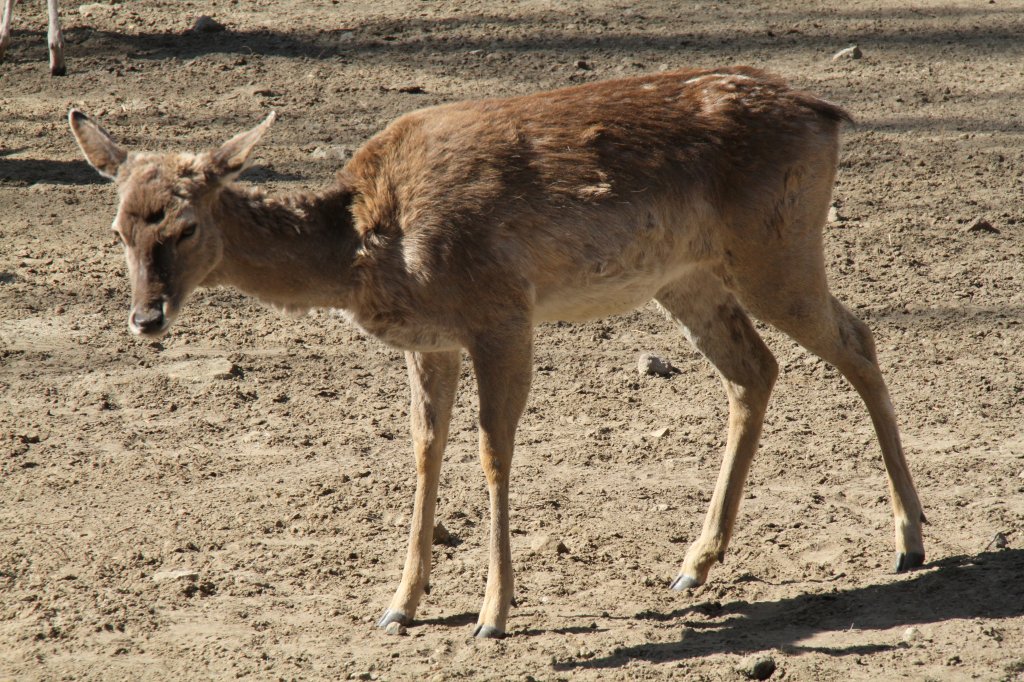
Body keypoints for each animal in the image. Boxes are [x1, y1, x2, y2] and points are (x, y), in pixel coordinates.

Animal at [68, 66, 925, 634]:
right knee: (756, 370)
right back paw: (694, 563)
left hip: (776, 246)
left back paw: (910, 541)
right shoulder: (432, 339)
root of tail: (826, 112)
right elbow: (424, 448)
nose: (145, 319)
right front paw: (398, 606)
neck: (364, 245)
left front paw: (493, 613)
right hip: (687, 275)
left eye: (183, 226)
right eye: (117, 228)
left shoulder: (502, 311)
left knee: (858, 338)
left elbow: (492, 453)